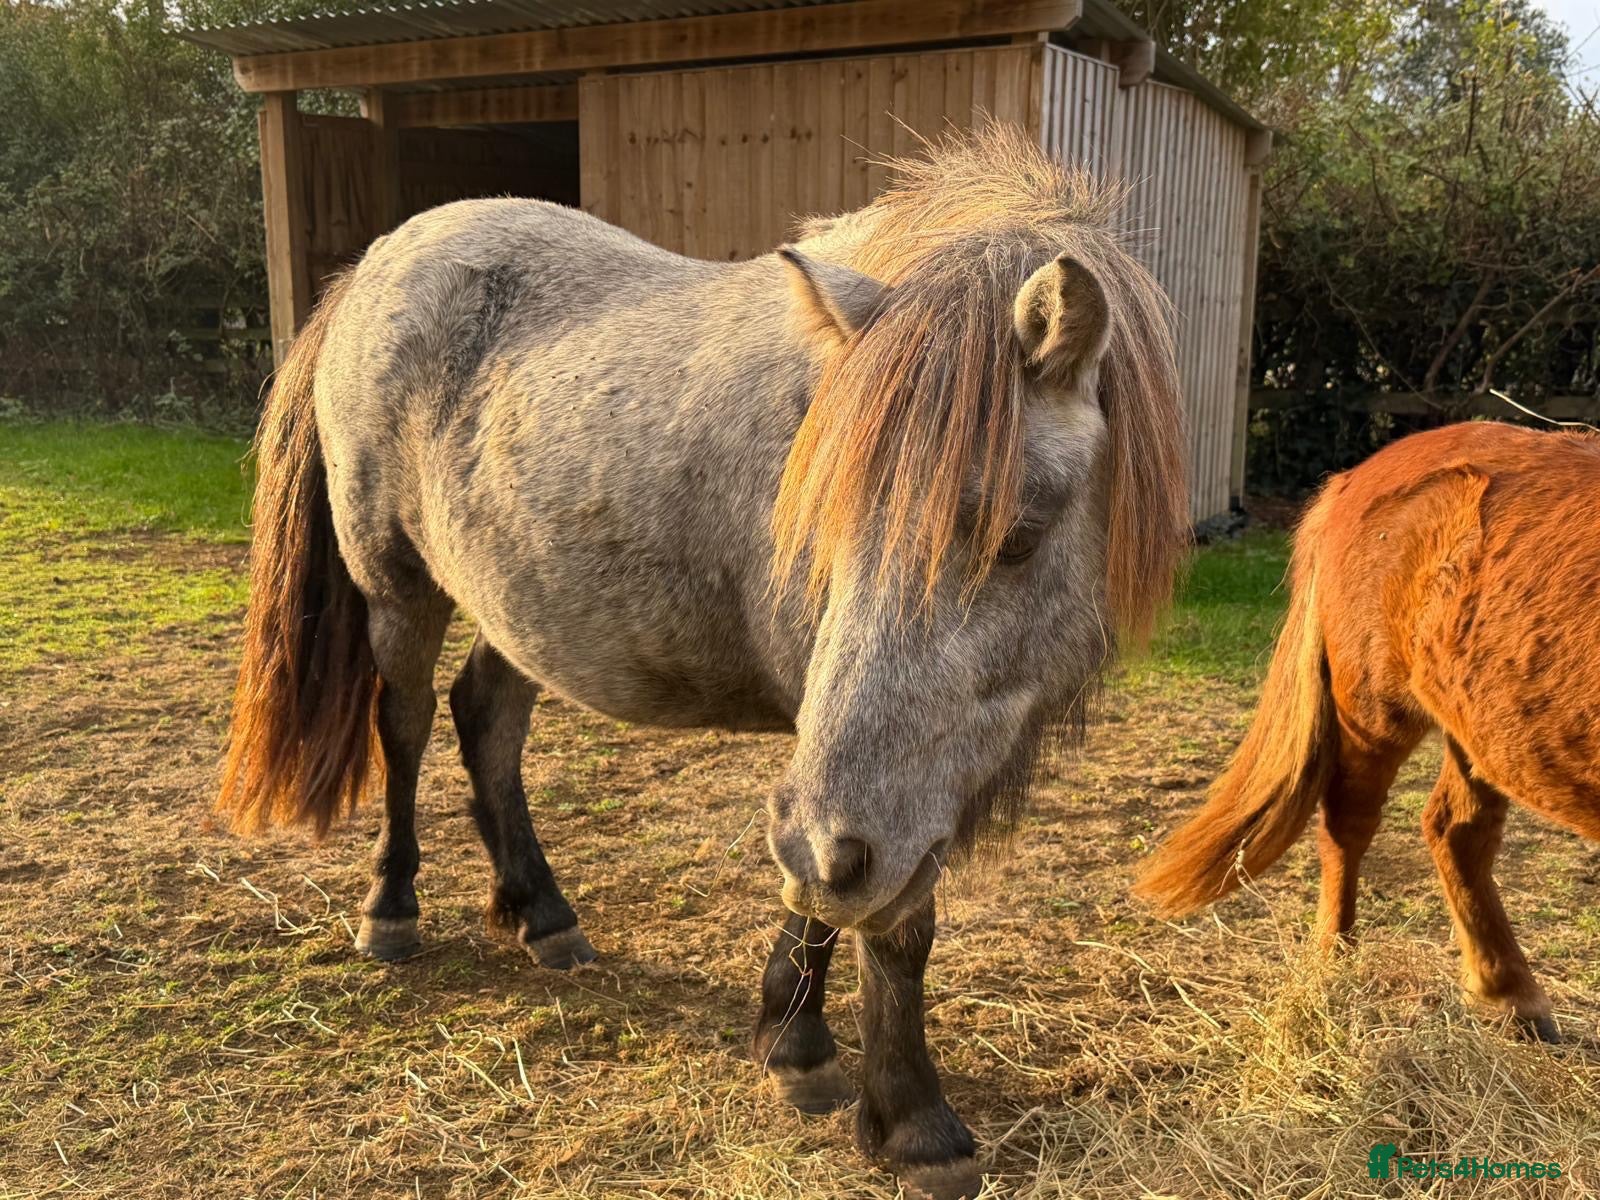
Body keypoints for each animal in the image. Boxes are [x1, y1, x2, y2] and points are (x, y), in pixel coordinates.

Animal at [219, 126, 1187, 1200]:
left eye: (1017, 538)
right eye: (828, 524)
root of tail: (374, 265)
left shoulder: (891, 776)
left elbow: (827, 889)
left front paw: (793, 1042)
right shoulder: (865, 774)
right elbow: (885, 917)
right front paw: (912, 1121)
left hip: (517, 607)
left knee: (488, 721)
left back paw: (540, 913)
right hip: (397, 589)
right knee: (407, 723)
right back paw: (392, 911)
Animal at [1136, 420, 1600, 1044]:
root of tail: (1354, 478)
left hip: (1482, 724)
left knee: (1456, 831)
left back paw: (1510, 995)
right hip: (1374, 713)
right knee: (1348, 825)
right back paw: (1334, 966)